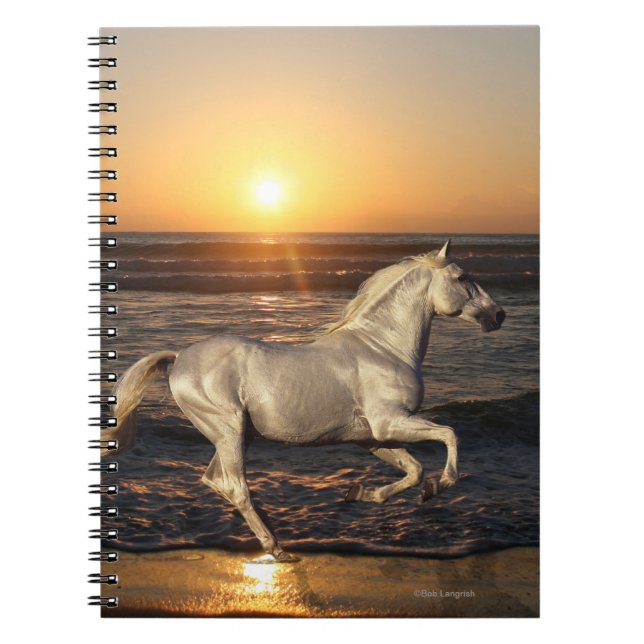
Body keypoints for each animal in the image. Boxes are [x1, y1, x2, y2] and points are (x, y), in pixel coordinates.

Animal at [103, 241, 505, 562]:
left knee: (217, 481)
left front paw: (360, 493)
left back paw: (274, 533)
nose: (498, 315)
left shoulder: (373, 437)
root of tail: (179, 358)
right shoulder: (390, 422)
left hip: (234, 436)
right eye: (462, 277)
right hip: (229, 431)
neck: (382, 347)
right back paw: (276, 547)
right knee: (235, 487)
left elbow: (413, 470)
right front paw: (440, 486)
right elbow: (449, 435)